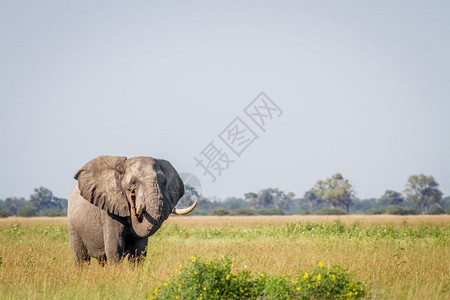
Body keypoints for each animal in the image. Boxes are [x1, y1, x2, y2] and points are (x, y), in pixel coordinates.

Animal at [66, 156, 195, 264]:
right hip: (73, 225)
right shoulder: (109, 211)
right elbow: (115, 247)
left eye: (164, 182)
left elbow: (139, 250)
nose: (132, 195)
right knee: (81, 258)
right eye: (133, 183)